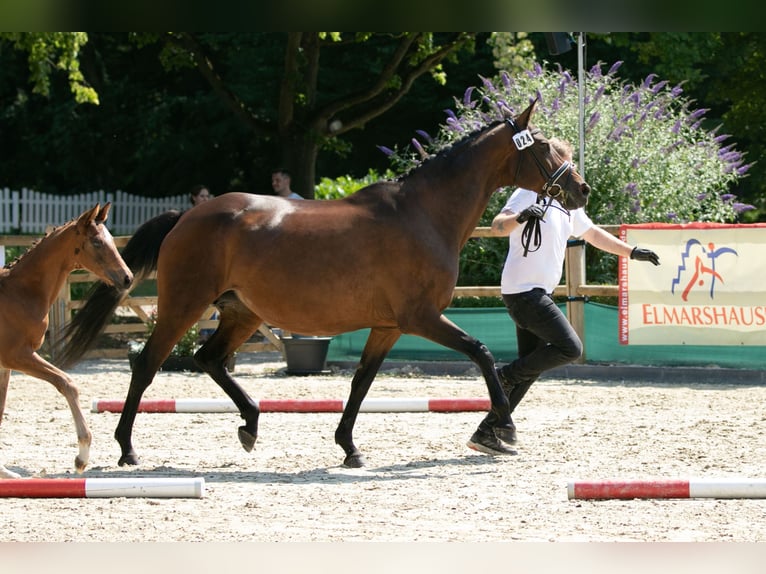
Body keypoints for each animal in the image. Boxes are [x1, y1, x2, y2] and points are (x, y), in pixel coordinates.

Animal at [0, 205, 132, 480]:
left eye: (111, 239)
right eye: (96, 242)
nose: (127, 278)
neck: (19, 293)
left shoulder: (5, 365)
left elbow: (0, 410)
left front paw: (5, 472)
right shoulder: (18, 355)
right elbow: (68, 384)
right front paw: (82, 457)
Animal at [60, 99, 592, 468]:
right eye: (545, 149)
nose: (581, 189)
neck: (424, 215)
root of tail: (186, 216)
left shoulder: (388, 327)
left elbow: (361, 382)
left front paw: (349, 447)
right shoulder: (420, 318)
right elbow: (481, 352)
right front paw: (503, 428)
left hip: (241, 312)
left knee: (207, 358)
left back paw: (250, 424)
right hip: (184, 305)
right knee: (148, 364)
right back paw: (128, 449)